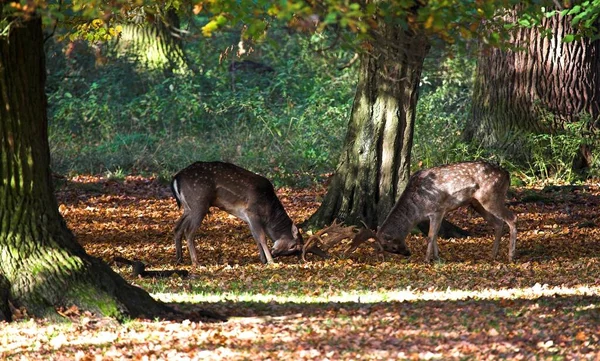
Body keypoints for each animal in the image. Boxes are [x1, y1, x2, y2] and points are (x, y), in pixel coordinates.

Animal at [171, 161, 326, 264]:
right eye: (293, 246)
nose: (275, 253)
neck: (269, 212)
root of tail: (176, 178)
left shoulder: (247, 217)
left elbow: (256, 237)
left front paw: (263, 259)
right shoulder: (252, 212)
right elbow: (262, 237)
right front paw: (270, 261)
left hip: (188, 207)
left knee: (177, 227)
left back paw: (179, 259)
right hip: (199, 203)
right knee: (189, 231)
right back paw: (196, 262)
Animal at [352, 162, 516, 260]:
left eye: (391, 246)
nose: (407, 253)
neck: (417, 210)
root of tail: (508, 174)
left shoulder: (438, 209)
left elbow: (431, 236)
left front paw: (427, 259)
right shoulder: (435, 214)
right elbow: (436, 234)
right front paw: (437, 258)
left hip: (491, 196)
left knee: (512, 218)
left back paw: (511, 255)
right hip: (477, 203)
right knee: (498, 223)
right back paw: (493, 254)